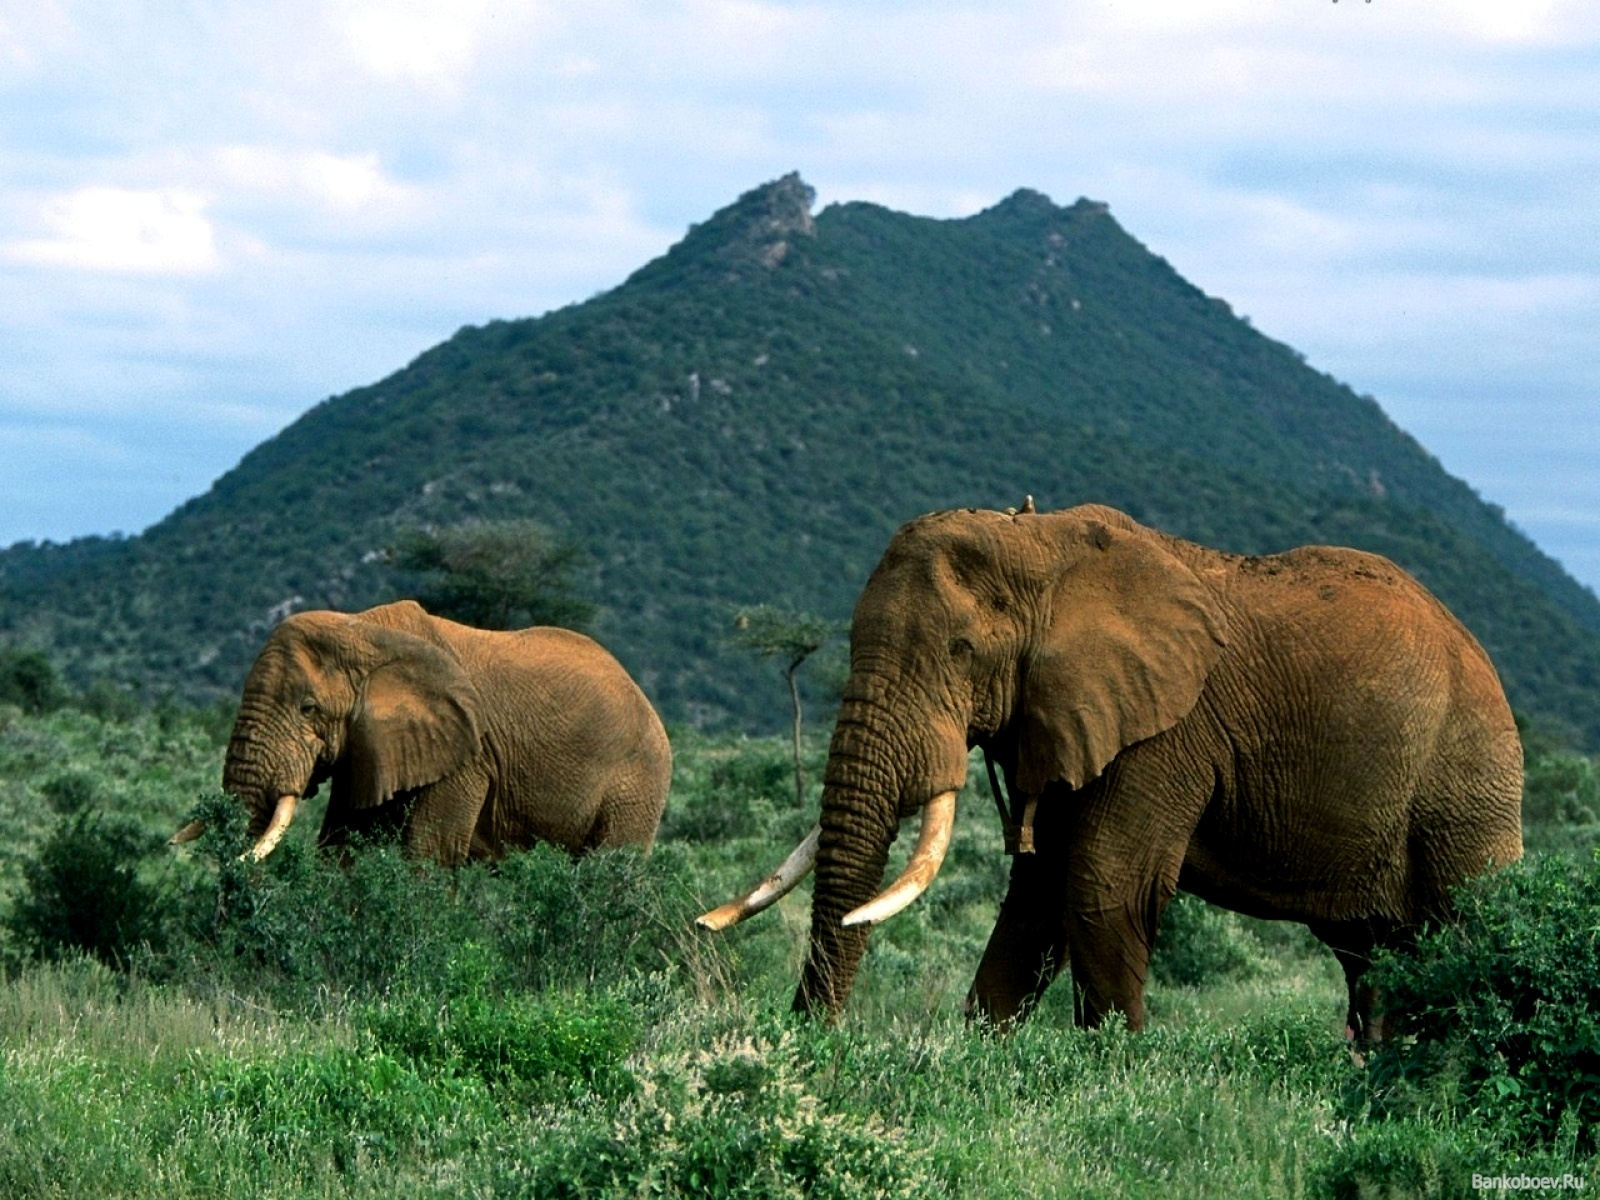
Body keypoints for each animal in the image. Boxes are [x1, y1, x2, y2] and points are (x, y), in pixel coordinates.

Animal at [175, 599, 671, 864]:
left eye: (308, 708)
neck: (364, 632)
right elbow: (342, 847)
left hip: (639, 779)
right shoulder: (371, 746)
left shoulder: (467, 755)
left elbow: (428, 851)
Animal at [700, 502, 1523, 1039]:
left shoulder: (1166, 730)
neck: (1042, 546)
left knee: (1470, 927)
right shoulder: (1063, 714)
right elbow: (1038, 896)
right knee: (1371, 954)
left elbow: (1102, 884)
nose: (812, 1038)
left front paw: (1110, 1072)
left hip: (1468, 776)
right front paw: (980, 1057)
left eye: (962, 651)